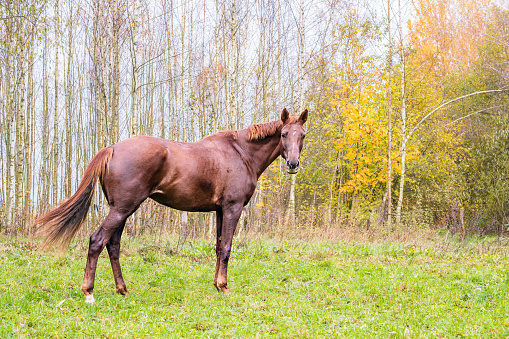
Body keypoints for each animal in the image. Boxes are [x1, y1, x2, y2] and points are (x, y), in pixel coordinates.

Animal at [35, 108, 308, 302]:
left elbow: (218, 247)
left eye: (302, 135)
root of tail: (112, 148)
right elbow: (227, 247)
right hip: (122, 209)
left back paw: (122, 289)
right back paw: (89, 292)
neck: (241, 153)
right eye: (284, 134)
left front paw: (216, 285)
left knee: (113, 245)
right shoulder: (233, 207)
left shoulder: (220, 210)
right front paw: (224, 286)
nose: (293, 164)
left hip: (122, 209)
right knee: (97, 241)